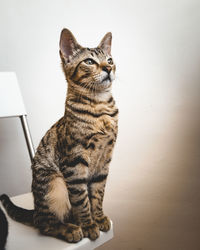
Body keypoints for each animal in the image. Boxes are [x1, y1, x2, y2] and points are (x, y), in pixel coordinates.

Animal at [0, 28, 118, 243]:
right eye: (89, 61)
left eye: (110, 59)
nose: (108, 68)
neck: (100, 107)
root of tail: (35, 208)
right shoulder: (75, 163)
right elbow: (81, 200)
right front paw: (88, 225)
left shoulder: (104, 162)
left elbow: (97, 195)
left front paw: (98, 218)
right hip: (55, 184)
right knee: (44, 223)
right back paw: (70, 229)